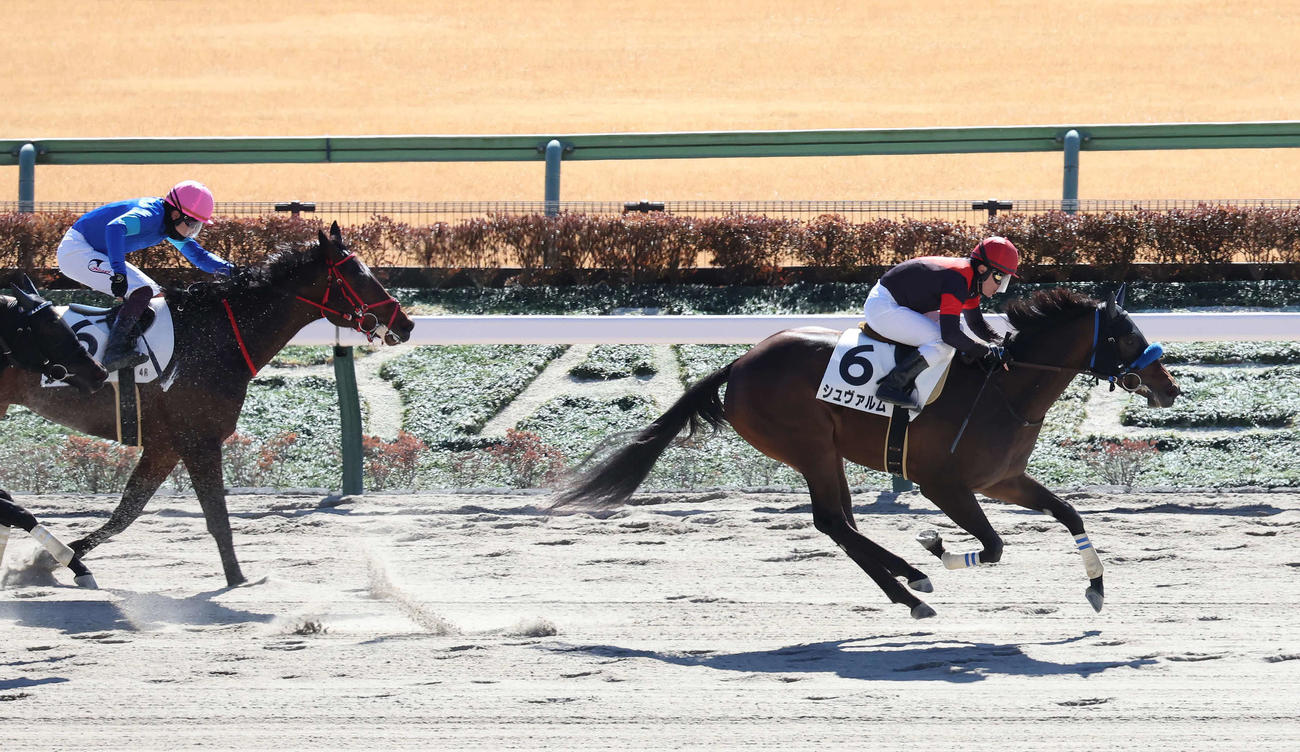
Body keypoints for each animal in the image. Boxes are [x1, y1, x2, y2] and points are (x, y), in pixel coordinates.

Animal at [553, 287, 1181, 619]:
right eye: (1126, 335)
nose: (1170, 387)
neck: (1006, 387)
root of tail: (739, 362)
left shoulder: (1002, 479)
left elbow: (1069, 513)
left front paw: (1096, 585)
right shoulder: (944, 484)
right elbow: (994, 546)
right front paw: (937, 548)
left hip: (826, 451)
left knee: (844, 521)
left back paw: (907, 582)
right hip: (808, 443)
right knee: (832, 520)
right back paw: (911, 584)